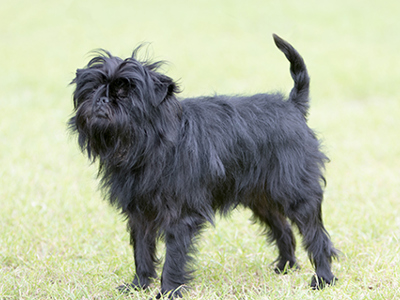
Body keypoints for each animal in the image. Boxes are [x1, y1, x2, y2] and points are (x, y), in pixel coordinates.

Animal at [69, 34, 338, 298]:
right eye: (92, 89)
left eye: (124, 93)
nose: (102, 99)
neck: (149, 142)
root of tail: (293, 106)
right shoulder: (139, 213)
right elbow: (142, 251)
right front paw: (139, 285)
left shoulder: (179, 214)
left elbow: (173, 257)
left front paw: (168, 291)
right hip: (262, 198)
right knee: (283, 229)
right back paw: (285, 267)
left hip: (296, 193)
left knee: (317, 236)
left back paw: (323, 278)